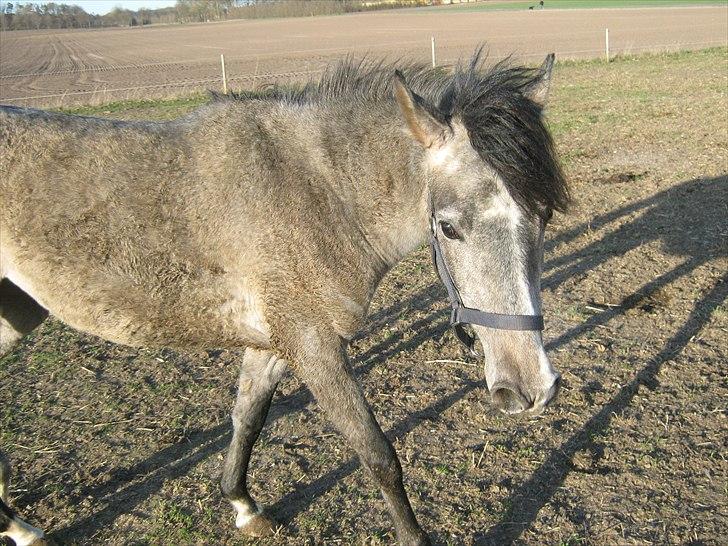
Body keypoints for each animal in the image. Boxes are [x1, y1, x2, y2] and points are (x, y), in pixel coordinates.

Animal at [0, 52, 568, 544]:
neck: (316, 193)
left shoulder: (273, 345)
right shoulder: (314, 348)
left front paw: (242, 507)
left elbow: (247, 419)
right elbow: (377, 454)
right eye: (449, 228)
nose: (529, 389)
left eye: (543, 215)